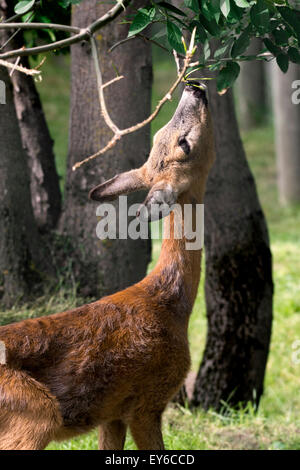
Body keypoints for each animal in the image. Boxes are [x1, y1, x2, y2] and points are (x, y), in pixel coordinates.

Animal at [0, 82, 216, 450]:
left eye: (161, 134)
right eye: (183, 143)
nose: (194, 87)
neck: (171, 303)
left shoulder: (112, 413)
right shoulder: (147, 401)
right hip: (34, 412)